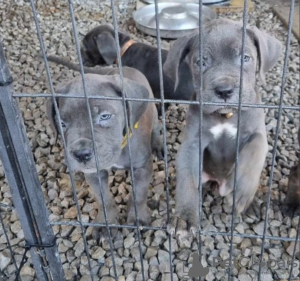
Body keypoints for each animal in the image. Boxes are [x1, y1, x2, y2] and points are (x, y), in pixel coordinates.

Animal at [47, 67, 163, 238]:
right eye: (62, 123)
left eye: (105, 116)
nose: (81, 154)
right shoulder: (94, 174)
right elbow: (103, 200)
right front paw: (106, 223)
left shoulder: (142, 168)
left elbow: (139, 194)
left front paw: (138, 218)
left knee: (155, 126)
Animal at [163, 18, 282, 236]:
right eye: (201, 62)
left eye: (245, 58)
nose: (224, 90)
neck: (226, 115)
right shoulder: (192, 143)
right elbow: (186, 178)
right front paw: (184, 217)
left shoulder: (258, 133)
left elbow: (255, 149)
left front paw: (242, 189)